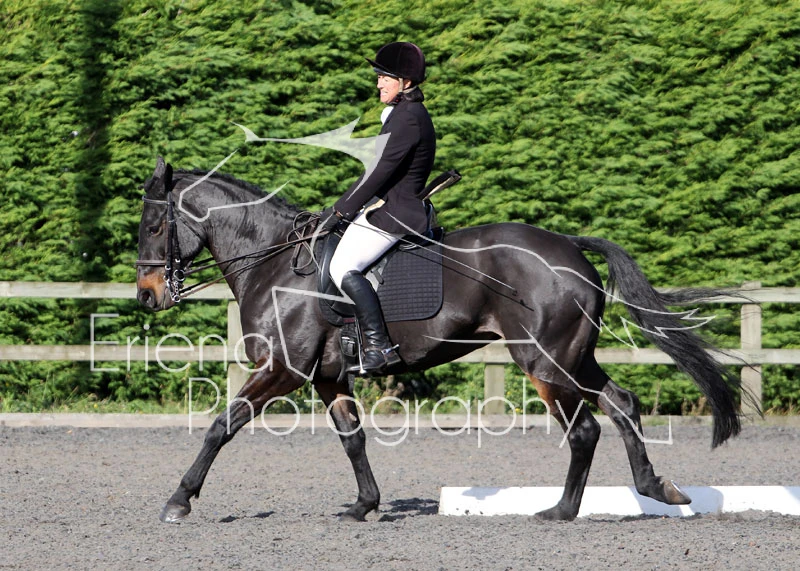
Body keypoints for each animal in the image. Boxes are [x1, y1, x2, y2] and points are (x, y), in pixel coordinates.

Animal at [135, 156, 741, 523]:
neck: (276, 263)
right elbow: (352, 439)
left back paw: (562, 511)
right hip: (573, 357)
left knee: (585, 428)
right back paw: (655, 488)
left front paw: (178, 500)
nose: (147, 295)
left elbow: (221, 425)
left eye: (155, 227)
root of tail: (567, 245)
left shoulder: (283, 370)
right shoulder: (327, 376)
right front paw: (364, 505)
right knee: (621, 404)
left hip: (545, 362)